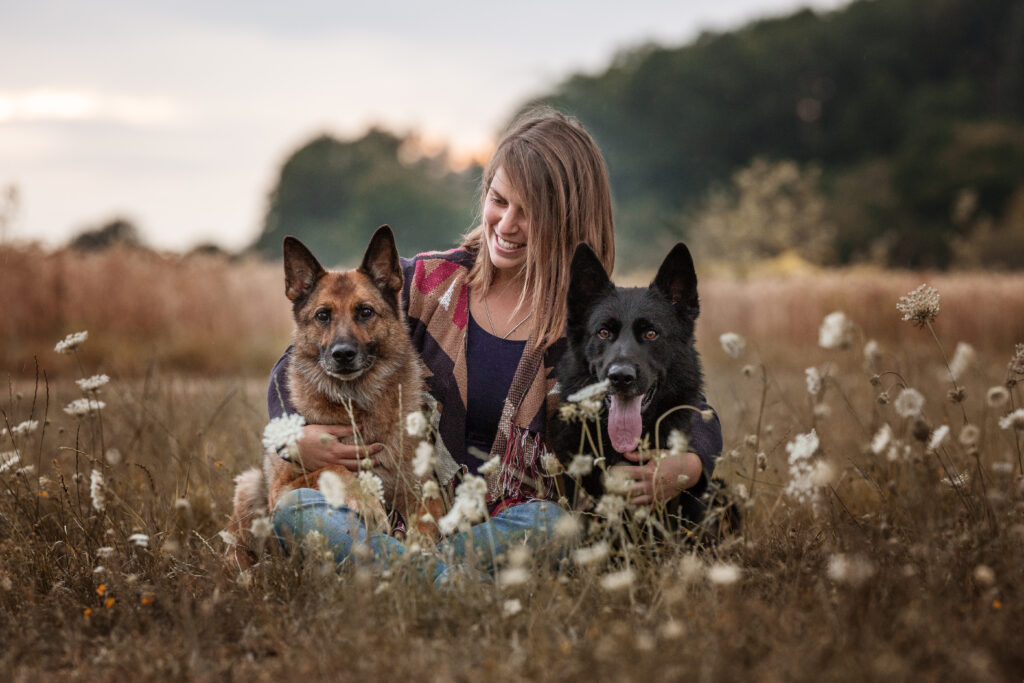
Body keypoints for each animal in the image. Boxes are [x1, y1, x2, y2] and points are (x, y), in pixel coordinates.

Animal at [227, 227, 440, 569]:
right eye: (323, 315)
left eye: (365, 312)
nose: (343, 354)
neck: (355, 401)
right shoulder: (285, 486)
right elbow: (331, 469)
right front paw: (367, 502)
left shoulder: (425, 491)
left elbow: (427, 522)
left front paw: (423, 549)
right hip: (249, 486)